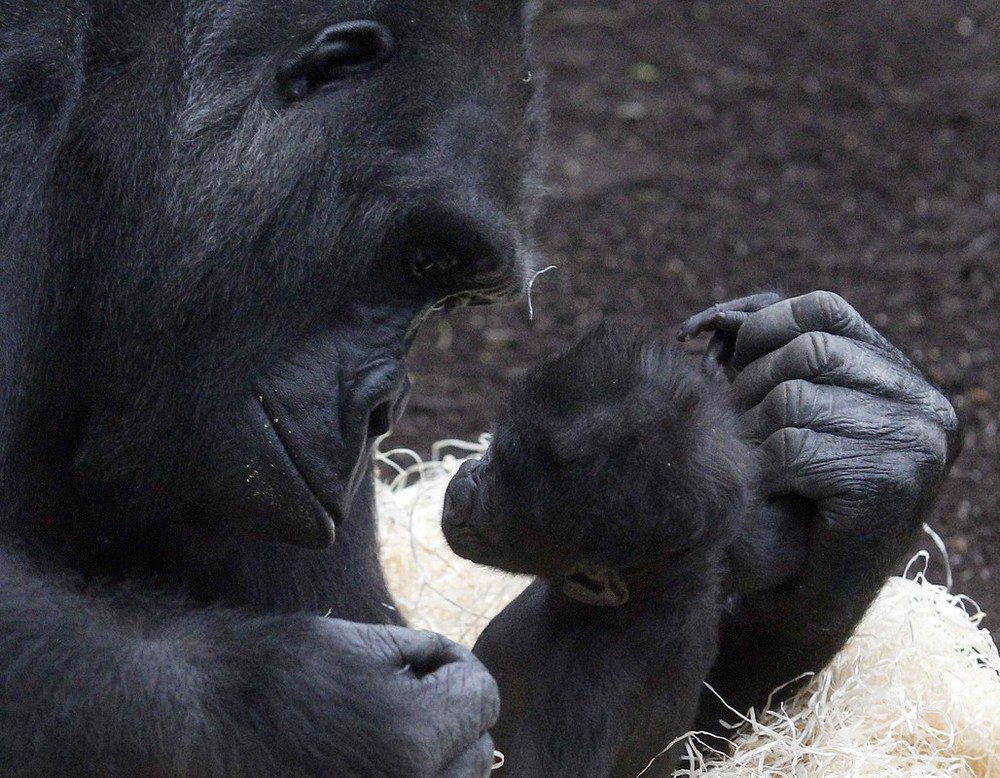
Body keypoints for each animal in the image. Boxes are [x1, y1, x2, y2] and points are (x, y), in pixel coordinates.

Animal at [442, 320, 808, 776]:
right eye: (491, 454)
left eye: (495, 488)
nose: (466, 476)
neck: (649, 598)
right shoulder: (717, 537)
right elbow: (774, 544)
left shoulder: (581, 694)